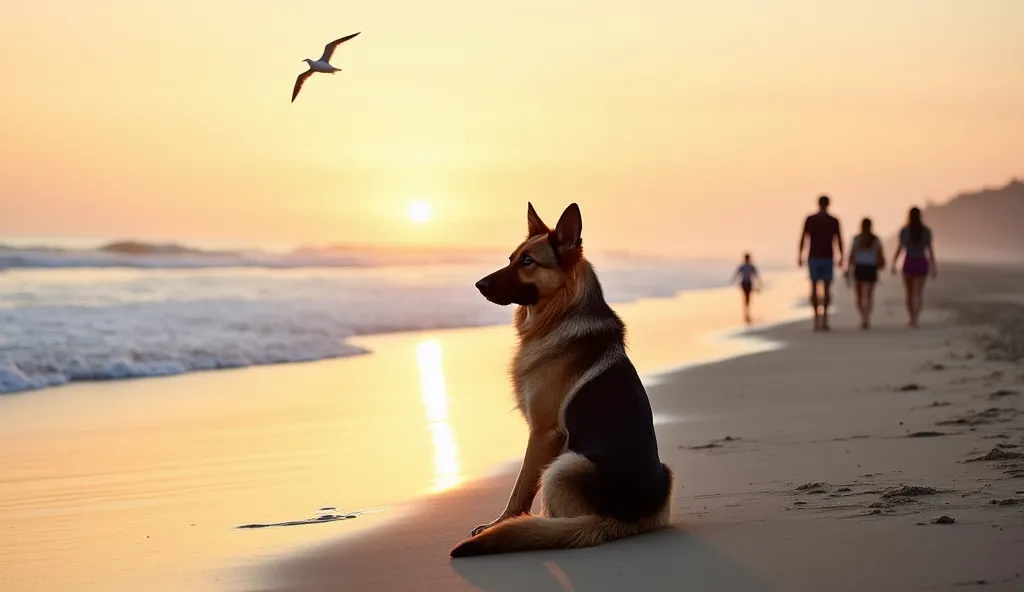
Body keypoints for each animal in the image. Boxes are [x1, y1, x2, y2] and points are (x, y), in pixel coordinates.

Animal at [450, 200, 675, 557]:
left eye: (528, 261)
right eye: (511, 258)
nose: (479, 285)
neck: (561, 312)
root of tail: (625, 516)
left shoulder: (543, 434)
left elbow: (520, 489)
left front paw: (498, 524)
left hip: (566, 465)